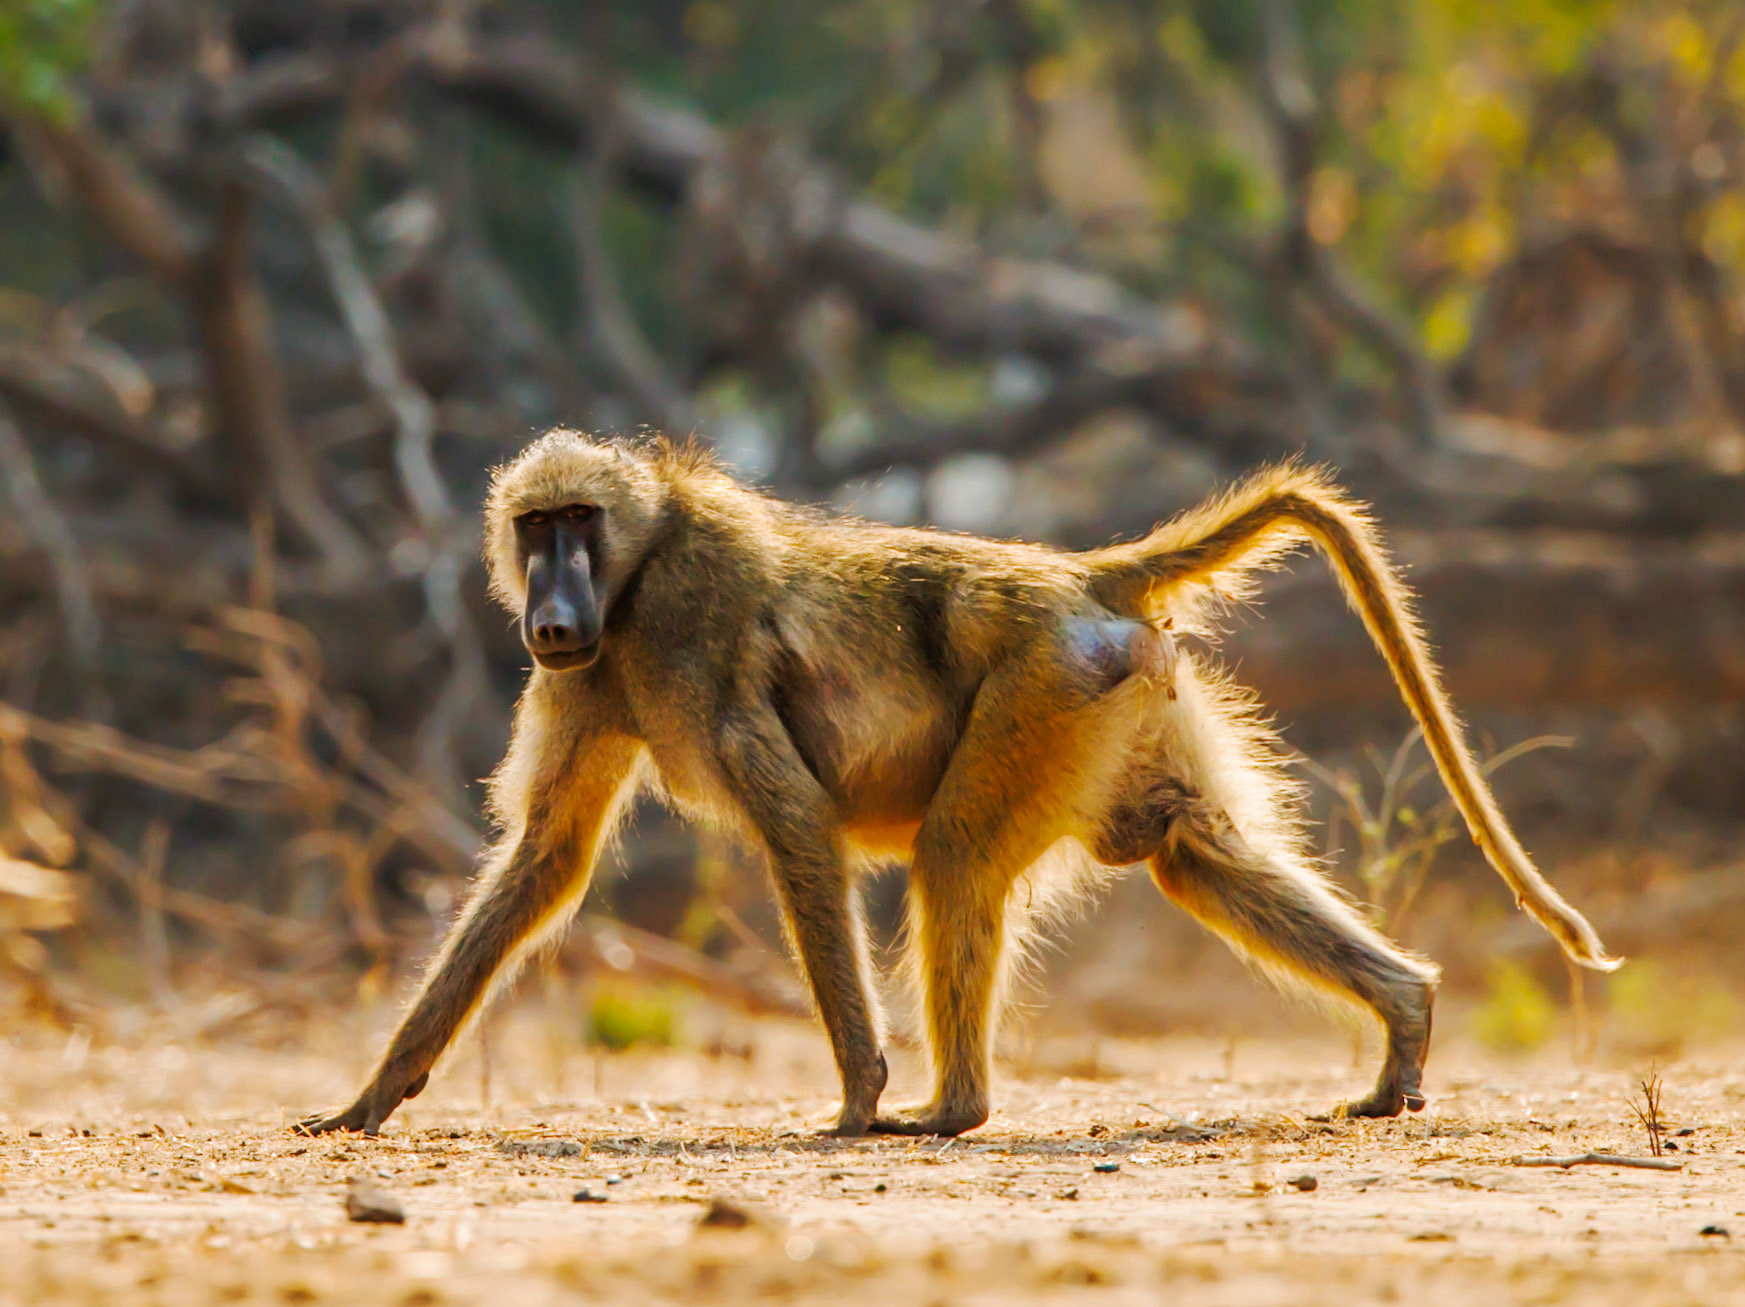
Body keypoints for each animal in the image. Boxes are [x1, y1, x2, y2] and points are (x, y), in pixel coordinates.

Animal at [297, 430, 1618, 1138]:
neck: (638, 569)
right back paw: (1402, 1019)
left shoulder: (688, 623)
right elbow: (542, 862)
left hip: (1039, 690)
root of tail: (1081, 575)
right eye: (536, 527)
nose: (553, 615)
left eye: (581, 520)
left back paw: (950, 1107)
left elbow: (794, 824)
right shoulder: (583, 680)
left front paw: (858, 1092)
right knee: (1189, 850)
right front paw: (368, 1097)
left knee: (954, 856)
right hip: (1118, 699)